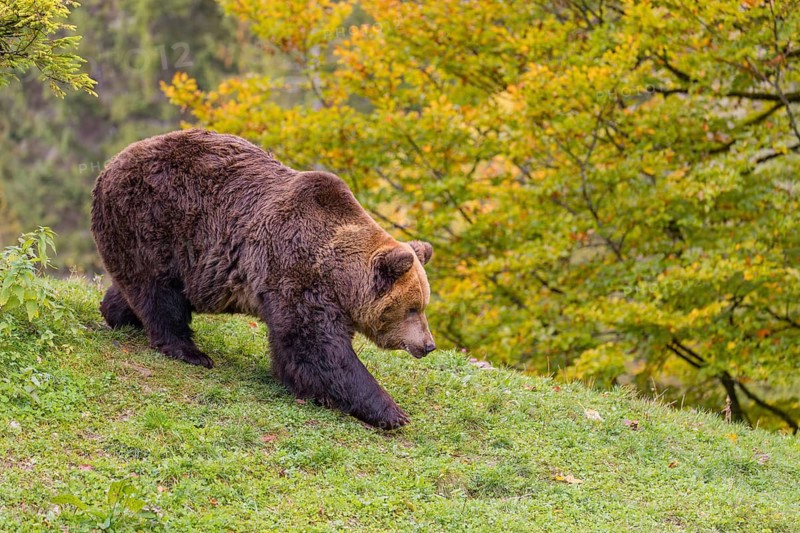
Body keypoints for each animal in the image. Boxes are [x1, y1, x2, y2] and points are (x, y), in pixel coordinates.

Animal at [91, 129, 436, 429]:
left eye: (422, 305)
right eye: (412, 308)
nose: (428, 345)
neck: (337, 276)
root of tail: (111, 164)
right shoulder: (293, 269)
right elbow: (317, 347)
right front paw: (391, 411)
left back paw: (119, 314)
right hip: (154, 221)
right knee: (159, 292)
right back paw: (190, 352)